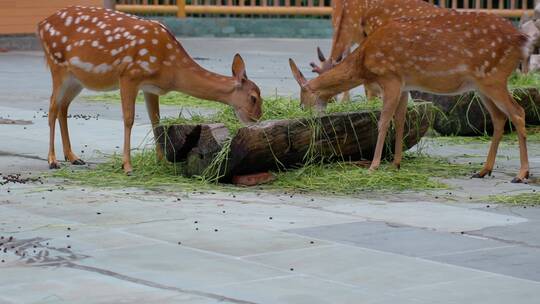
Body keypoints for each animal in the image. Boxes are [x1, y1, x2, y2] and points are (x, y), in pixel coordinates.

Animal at [37, 5, 262, 175]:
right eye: (253, 97)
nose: (257, 120)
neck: (171, 68)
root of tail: (41, 24)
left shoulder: (151, 88)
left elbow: (156, 122)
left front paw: (161, 162)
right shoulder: (129, 75)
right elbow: (129, 119)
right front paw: (127, 166)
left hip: (77, 79)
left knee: (63, 108)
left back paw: (73, 157)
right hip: (58, 66)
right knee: (52, 107)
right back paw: (53, 160)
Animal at [292, 11, 532, 183]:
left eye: (302, 100)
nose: (306, 114)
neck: (364, 63)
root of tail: (521, 39)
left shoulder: (390, 77)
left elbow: (384, 121)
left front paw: (374, 166)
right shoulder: (404, 85)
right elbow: (400, 120)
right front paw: (396, 163)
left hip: (494, 77)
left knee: (518, 112)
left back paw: (521, 174)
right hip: (482, 85)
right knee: (499, 117)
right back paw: (483, 170)